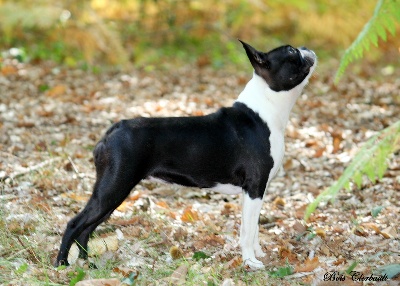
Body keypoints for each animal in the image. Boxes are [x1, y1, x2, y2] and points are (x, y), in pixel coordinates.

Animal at [56, 40, 318, 270]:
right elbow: (247, 231)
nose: (306, 47)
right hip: (113, 188)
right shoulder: (254, 188)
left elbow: (251, 229)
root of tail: (113, 130)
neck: (266, 109)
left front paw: (258, 254)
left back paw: (87, 262)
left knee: (87, 228)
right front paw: (251, 262)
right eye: (292, 52)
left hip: (112, 193)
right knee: (75, 223)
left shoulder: (252, 193)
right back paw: (62, 264)